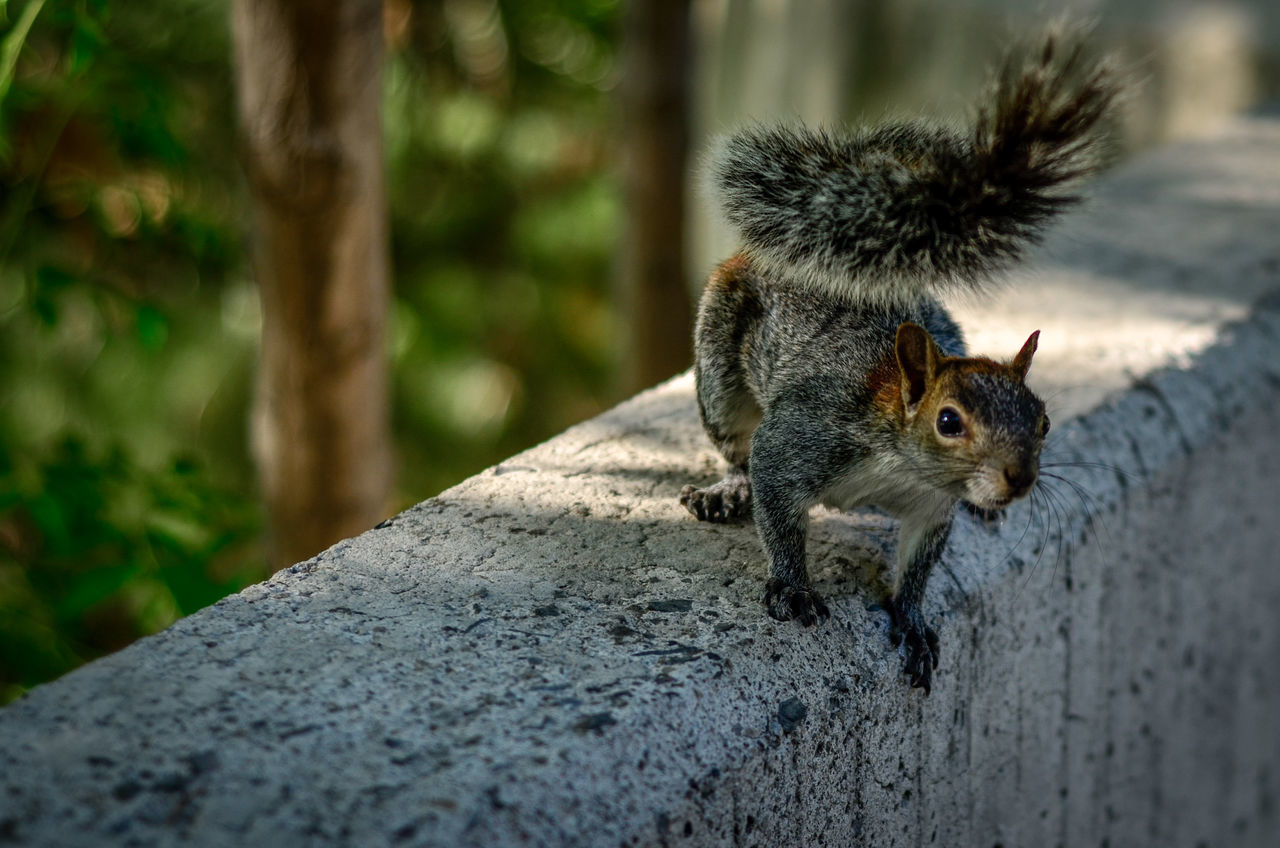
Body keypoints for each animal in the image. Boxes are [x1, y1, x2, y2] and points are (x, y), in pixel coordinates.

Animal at [680, 31, 1121, 696]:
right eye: (948, 421)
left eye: (1044, 421)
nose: (1019, 479)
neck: (901, 463)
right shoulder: (806, 434)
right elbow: (777, 504)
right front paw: (792, 586)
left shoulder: (929, 513)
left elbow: (917, 568)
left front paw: (911, 619)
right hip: (721, 376)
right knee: (736, 445)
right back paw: (729, 488)